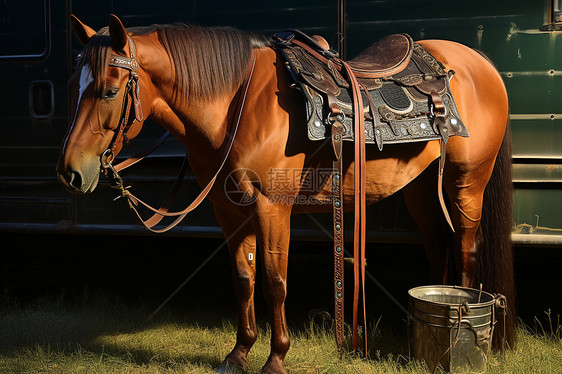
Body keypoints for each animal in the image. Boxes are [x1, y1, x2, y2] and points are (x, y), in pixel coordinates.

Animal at [58, 14, 516, 374]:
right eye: (73, 85)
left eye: (110, 90)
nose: (71, 172)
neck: (235, 103)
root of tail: (482, 65)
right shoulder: (229, 209)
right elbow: (244, 278)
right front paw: (239, 354)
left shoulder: (271, 207)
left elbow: (275, 280)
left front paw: (276, 358)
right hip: (421, 191)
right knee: (438, 249)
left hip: (468, 182)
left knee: (466, 250)